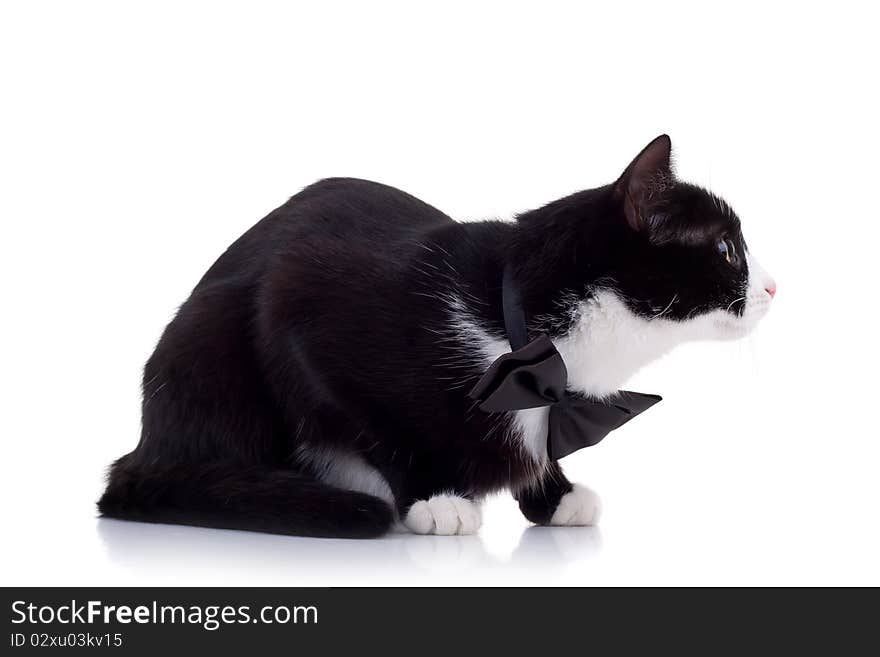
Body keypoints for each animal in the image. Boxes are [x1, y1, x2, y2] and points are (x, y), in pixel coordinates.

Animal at [99, 135, 776, 540]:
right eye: (726, 249)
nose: (774, 286)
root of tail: (146, 446)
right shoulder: (298, 302)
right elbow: (377, 426)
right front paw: (434, 497)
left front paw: (552, 495)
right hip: (209, 345)